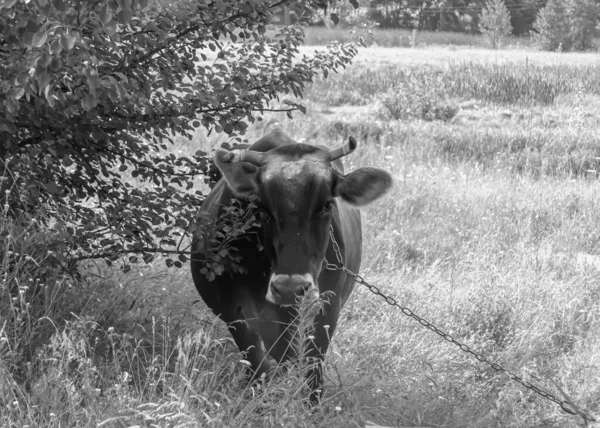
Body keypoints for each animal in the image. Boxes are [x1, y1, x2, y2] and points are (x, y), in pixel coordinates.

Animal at [190, 129, 392, 402]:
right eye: (262, 208)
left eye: (327, 205)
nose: (290, 289)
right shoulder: (234, 312)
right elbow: (259, 369)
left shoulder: (327, 307)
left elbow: (312, 375)